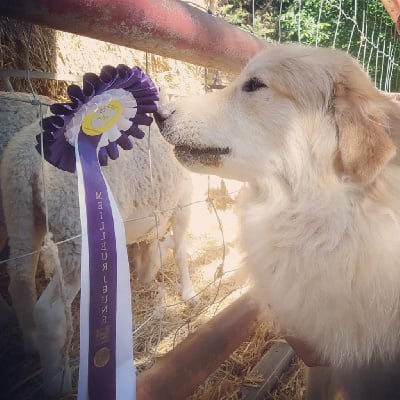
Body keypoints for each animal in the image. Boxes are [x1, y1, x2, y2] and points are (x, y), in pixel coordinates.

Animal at [0, 94, 196, 396]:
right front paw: (188, 293)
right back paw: (57, 382)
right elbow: (181, 250)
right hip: (75, 234)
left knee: (20, 282)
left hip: (20, 214)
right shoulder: (183, 202)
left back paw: (31, 344)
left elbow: (151, 255)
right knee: (50, 311)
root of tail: (27, 161)